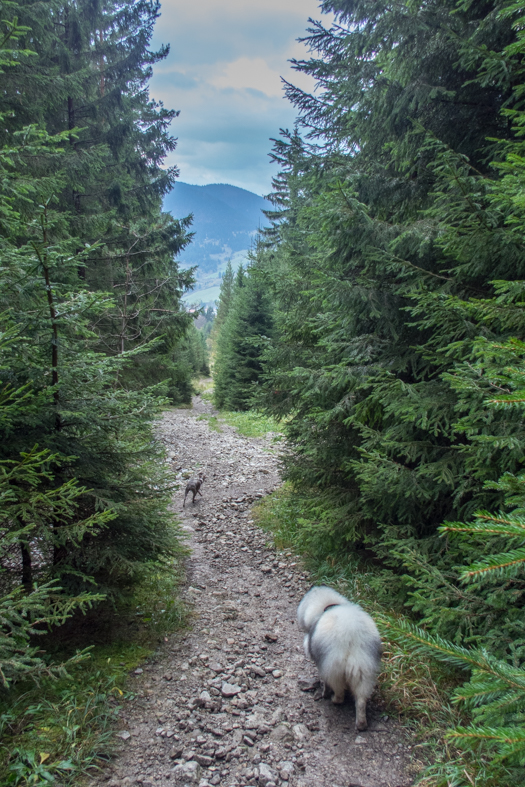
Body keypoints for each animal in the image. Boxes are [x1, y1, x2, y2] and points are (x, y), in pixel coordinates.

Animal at [298, 584, 380, 732]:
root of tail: (351, 636)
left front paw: (324, 693)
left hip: (333, 667)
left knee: (339, 691)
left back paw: (334, 699)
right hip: (363, 669)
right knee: (360, 699)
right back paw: (361, 724)